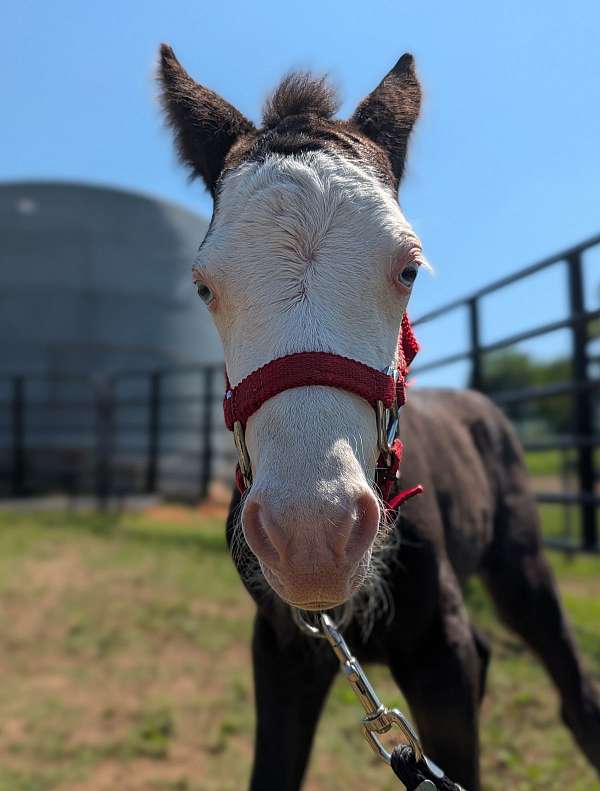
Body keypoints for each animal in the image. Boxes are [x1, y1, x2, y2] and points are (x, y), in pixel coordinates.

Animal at [158, 44, 600, 790]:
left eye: (410, 269)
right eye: (203, 286)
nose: (312, 537)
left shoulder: (440, 657)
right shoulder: (284, 653)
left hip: (523, 568)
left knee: (576, 696)